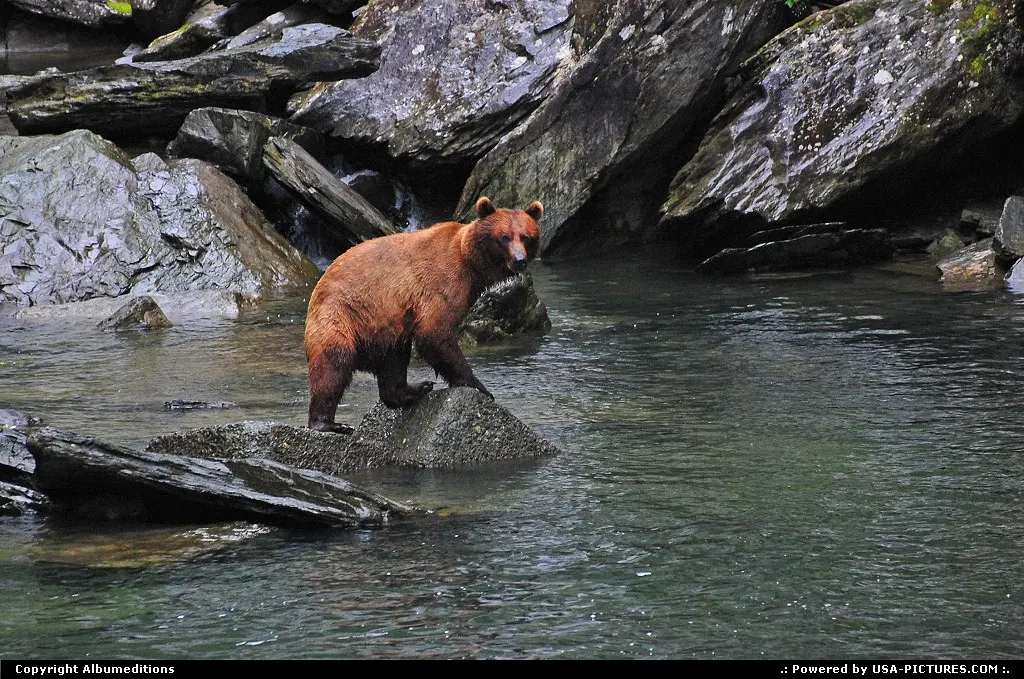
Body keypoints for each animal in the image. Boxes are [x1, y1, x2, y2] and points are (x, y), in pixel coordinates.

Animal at [304, 196, 544, 432]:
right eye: (504, 237)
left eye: (526, 237)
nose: (520, 260)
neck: (471, 264)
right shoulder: (442, 282)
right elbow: (435, 333)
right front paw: (479, 386)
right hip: (344, 315)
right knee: (333, 366)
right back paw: (329, 423)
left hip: (386, 329)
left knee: (394, 361)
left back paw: (415, 389)